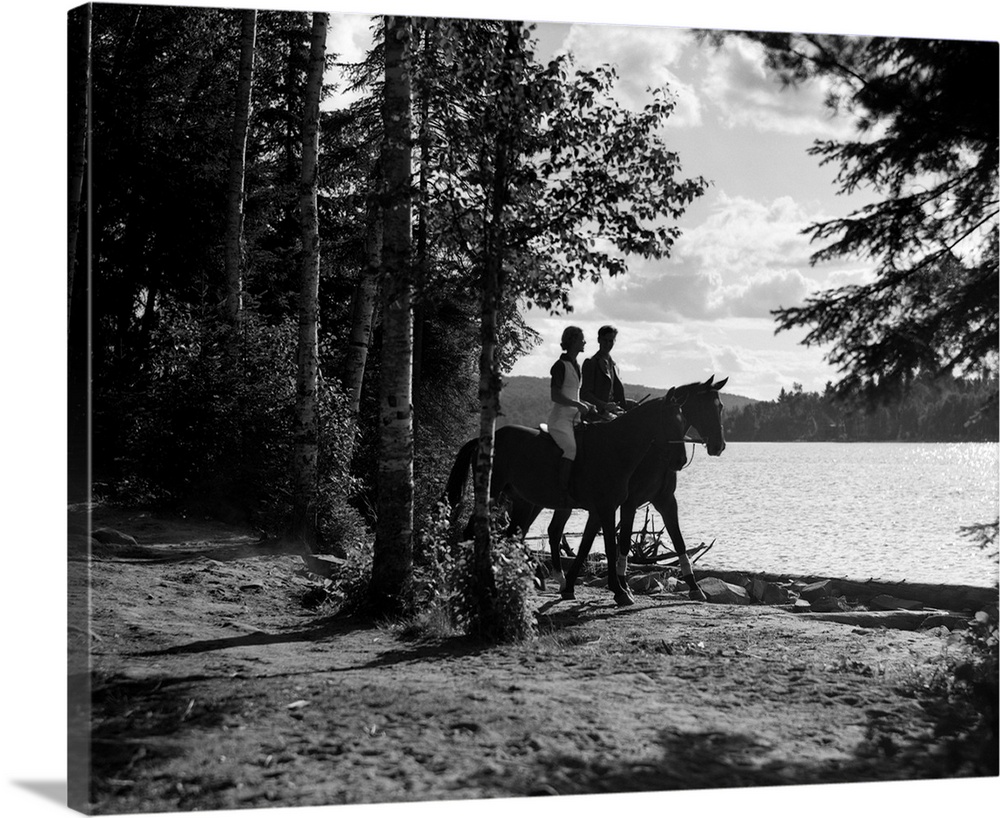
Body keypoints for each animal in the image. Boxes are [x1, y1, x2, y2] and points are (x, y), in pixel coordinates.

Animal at [446, 388, 688, 604]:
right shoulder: (607, 508)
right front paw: (620, 591)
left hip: (524, 501)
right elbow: (610, 547)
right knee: (474, 532)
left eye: (682, 423)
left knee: (515, 536)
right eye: (670, 422)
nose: (681, 461)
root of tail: (485, 438)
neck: (614, 447)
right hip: (494, 494)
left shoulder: (598, 511)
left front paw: (570, 586)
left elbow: (585, 547)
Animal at [508, 372, 728, 604]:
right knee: (526, 531)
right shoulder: (627, 503)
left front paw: (694, 586)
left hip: (559, 504)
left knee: (552, 531)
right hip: (534, 501)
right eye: (705, 407)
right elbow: (621, 542)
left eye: (720, 406)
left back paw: (558, 579)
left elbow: (678, 541)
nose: (719, 446)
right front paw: (622, 586)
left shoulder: (665, 500)